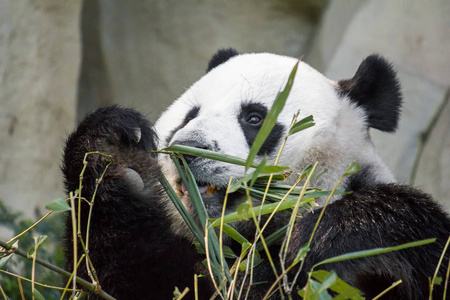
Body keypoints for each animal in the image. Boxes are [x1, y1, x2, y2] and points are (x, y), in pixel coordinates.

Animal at [62, 48, 450, 298]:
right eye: (190, 115)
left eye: (254, 118)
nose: (188, 150)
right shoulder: (187, 260)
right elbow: (116, 275)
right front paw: (111, 150)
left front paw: (327, 236)